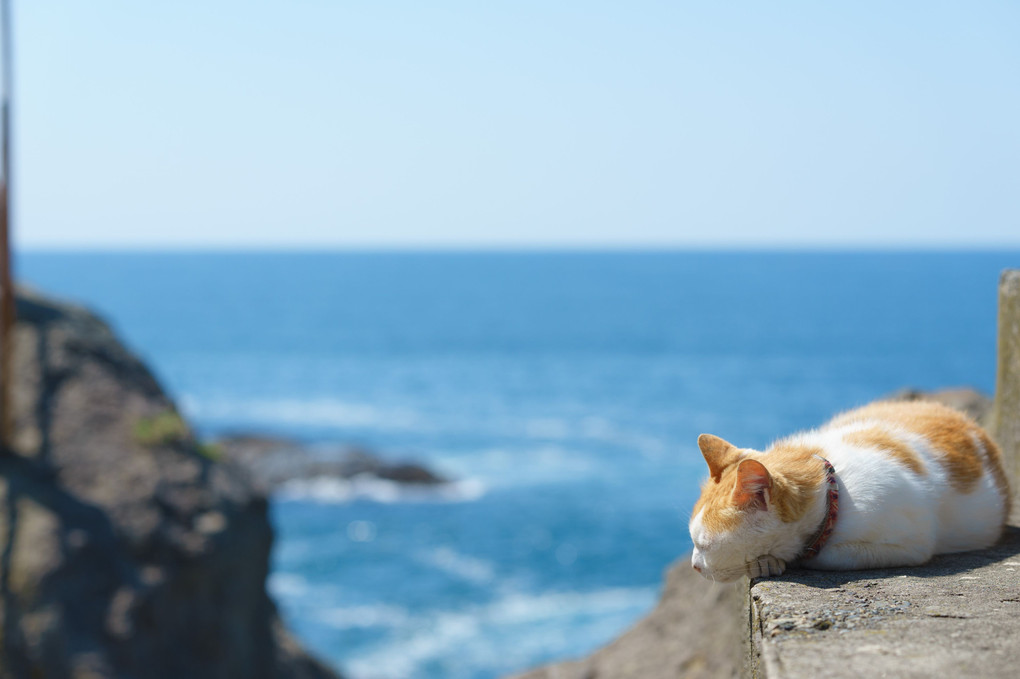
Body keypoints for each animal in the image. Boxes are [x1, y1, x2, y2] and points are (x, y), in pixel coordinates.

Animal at [689, 399, 1007, 579]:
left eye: (703, 545)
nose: (694, 565)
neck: (832, 491)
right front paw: (767, 562)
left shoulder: (912, 543)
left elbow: (823, 555)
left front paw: (774, 561)